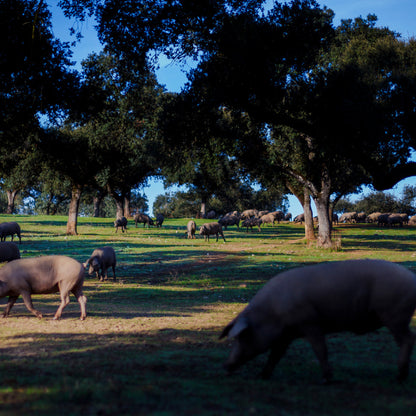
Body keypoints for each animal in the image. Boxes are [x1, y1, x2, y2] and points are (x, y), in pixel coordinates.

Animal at [223, 260, 416, 384]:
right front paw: (261, 376)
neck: (271, 313)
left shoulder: (310, 324)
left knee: (408, 339)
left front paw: (326, 379)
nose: (226, 366)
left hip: (395, 316)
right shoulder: (286, 335)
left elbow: (320, 350)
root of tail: (412, 277)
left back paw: (399, 377)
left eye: (242, 336)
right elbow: (275, 355)